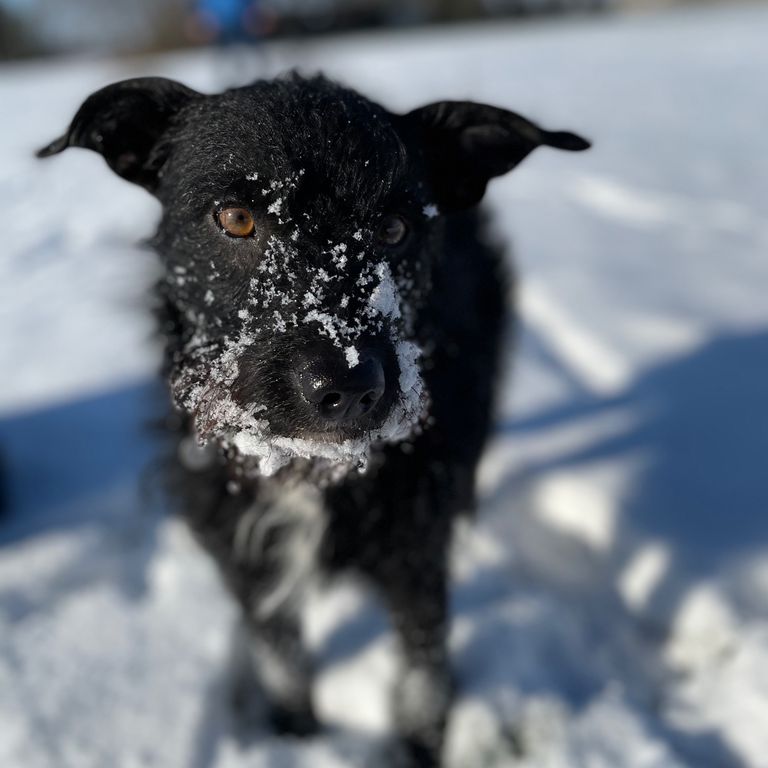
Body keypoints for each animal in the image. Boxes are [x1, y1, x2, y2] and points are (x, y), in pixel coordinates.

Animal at [39, 73, 584, 768]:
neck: (308, 470)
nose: (348, 387)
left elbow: (423, 677)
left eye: (395, 228)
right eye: (236, 218)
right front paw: (296, 734)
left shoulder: (416, 561)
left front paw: (419, 749)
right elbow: (282, 661)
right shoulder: (248, 558)